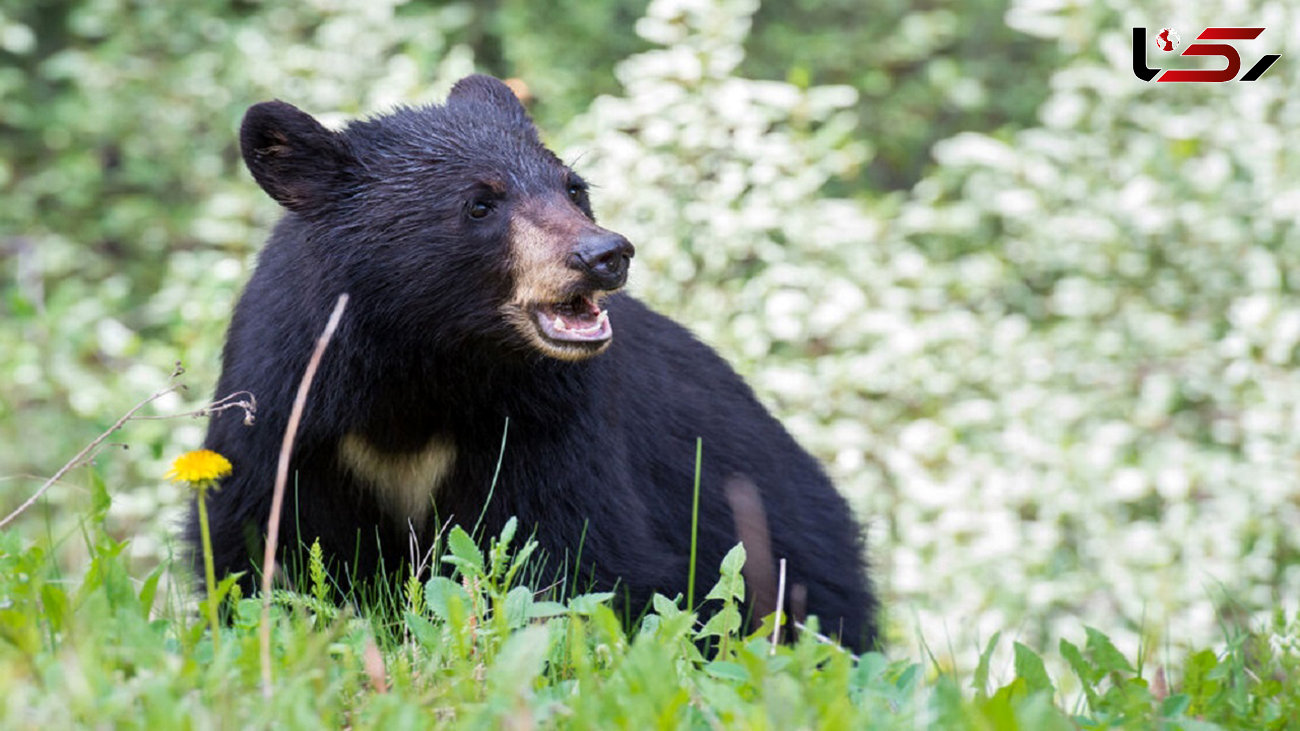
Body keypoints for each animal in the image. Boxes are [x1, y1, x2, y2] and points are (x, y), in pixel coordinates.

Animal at [188, 71, 878, 645]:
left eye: (575, 188)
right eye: (479, 203)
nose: (605, 254)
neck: (422, 365)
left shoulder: (546, 420)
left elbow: (571, 552)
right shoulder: (290, 408)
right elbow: (256, 543)